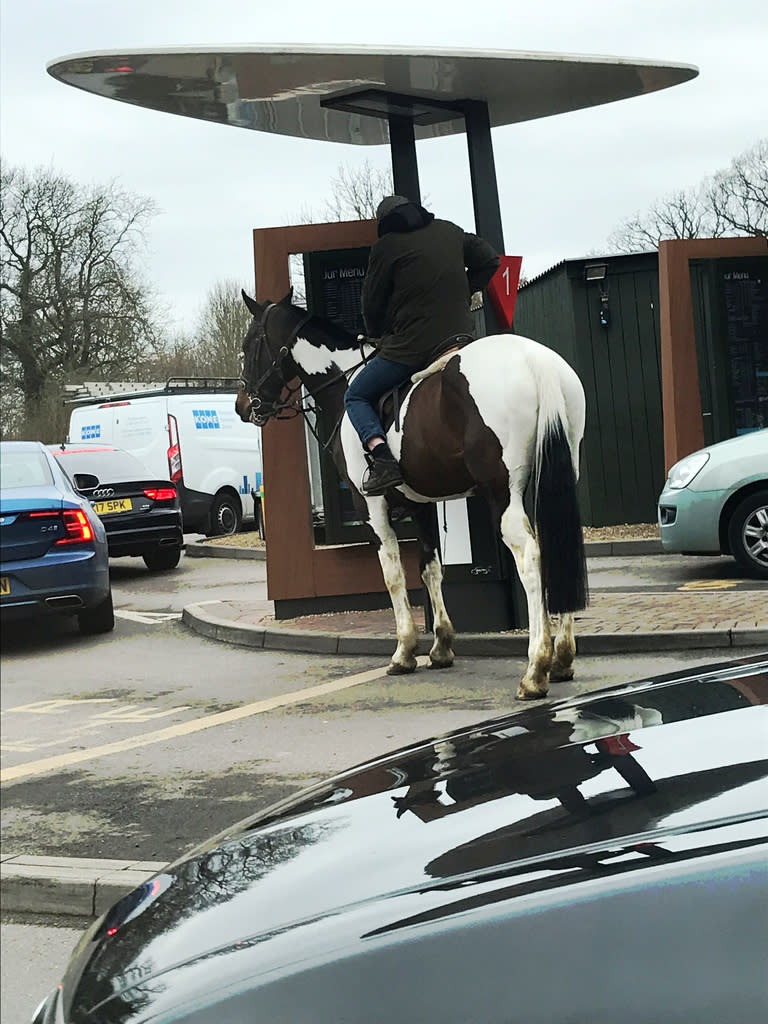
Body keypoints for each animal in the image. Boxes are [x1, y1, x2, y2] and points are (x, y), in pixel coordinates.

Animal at [234, 292, 589, 700]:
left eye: (248, 345)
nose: (242, 405)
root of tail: (534, 359)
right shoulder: (423, 506)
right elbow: (430, 569)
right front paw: (441, 646)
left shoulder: (370, 507)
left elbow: (393, 574)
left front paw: (404, 651)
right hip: (552, 478)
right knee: (558, 541)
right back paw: (562, 658)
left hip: (502, 492)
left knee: (530, 557)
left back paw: (536, 668)